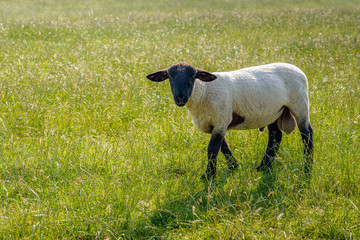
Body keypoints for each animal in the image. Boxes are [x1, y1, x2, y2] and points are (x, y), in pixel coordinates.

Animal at [146, 62, 312, 178]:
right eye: (170, 76)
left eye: (193, 76)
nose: (180, 97)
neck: (204, 91)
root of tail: (297, 68)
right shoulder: (216, 123)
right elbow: (223, 146)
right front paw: (234, 166)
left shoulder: (221, 120)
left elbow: (212, 149)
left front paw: (209, 176)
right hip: (273, 112)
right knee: (275, 136)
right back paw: (263, 167)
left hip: (300, 105)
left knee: (307, 134)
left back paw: (307, 168)